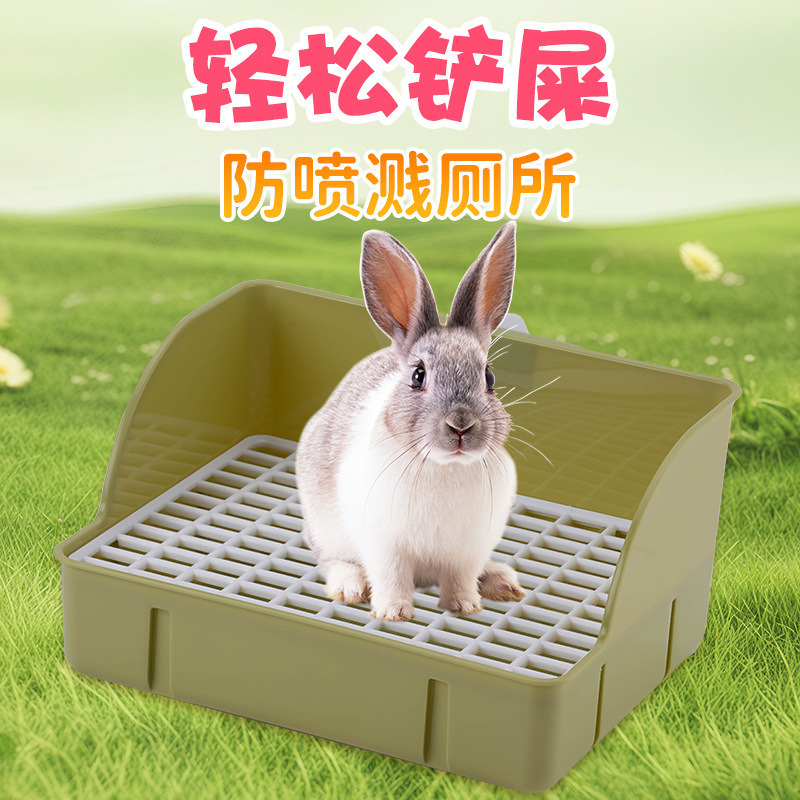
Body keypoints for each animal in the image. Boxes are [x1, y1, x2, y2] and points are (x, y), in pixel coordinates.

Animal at [295, 222, 525, 621]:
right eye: (418, 376)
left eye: (489, 377)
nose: (461, 425)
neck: (445, 466)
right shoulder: (385, 546)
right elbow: (391, 577)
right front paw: (393, 612)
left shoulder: (467, 551)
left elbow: (460, 579)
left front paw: (465, 607)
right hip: (325, 530)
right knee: (333, 561)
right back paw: (349, 587)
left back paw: (502, 583)